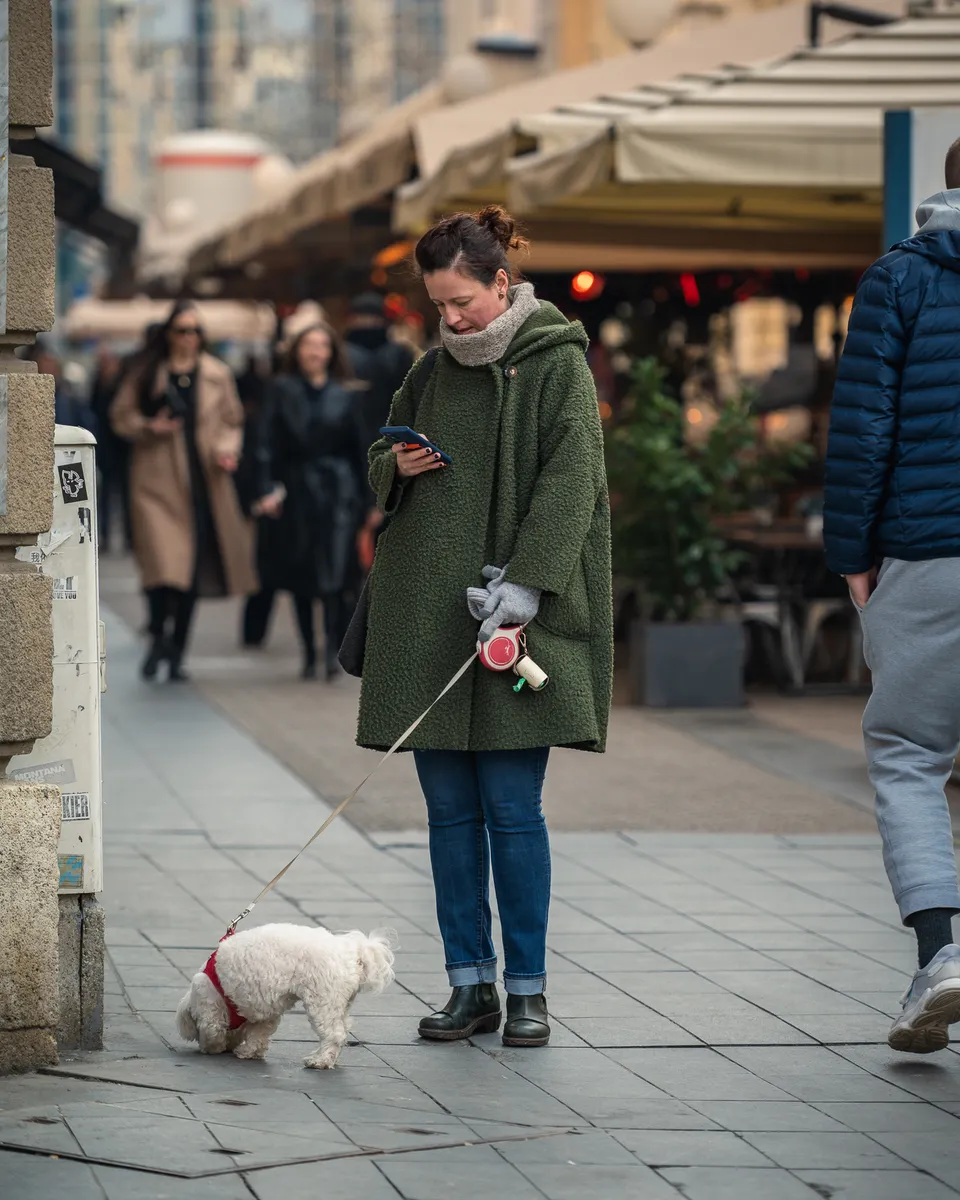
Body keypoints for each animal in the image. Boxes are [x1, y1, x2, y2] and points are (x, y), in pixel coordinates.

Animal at [175, 926, 393, 1070]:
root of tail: (352, 953)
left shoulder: (209, 1003)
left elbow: (213, 1028)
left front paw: (213, 1047)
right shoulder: (262, 1008)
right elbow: (258, 1033)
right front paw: (249, 1051)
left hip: (322, 1000)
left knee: (334, 1034)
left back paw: (320, 1061)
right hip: (340, 1001)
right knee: (342, 1030)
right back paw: (329, 1059)